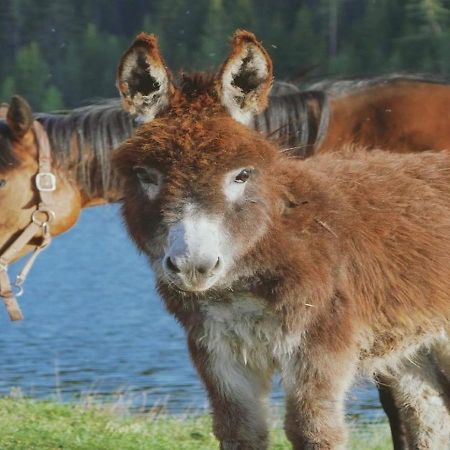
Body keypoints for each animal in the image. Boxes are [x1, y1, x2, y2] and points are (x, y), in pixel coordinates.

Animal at [113, 31, 450, 450]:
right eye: (146, 175)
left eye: (241, 175)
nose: (193, 265)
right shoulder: (217, 352)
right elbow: (240, 432)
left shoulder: (319, 348)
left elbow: (313, 433)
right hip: (412, 345)